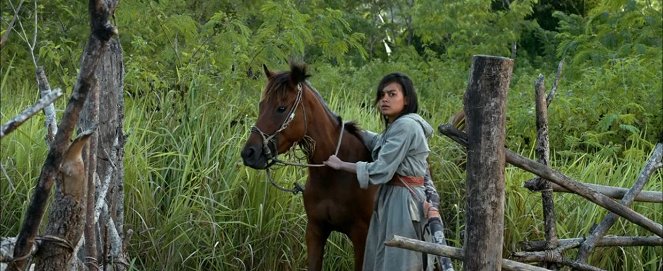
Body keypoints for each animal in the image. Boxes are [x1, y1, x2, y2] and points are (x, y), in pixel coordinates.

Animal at [243, 62, 378, 270]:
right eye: (261, 105)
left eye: (281, 108)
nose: (249, 153)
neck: (335, 175)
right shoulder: (315, 231)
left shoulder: (362, 238)